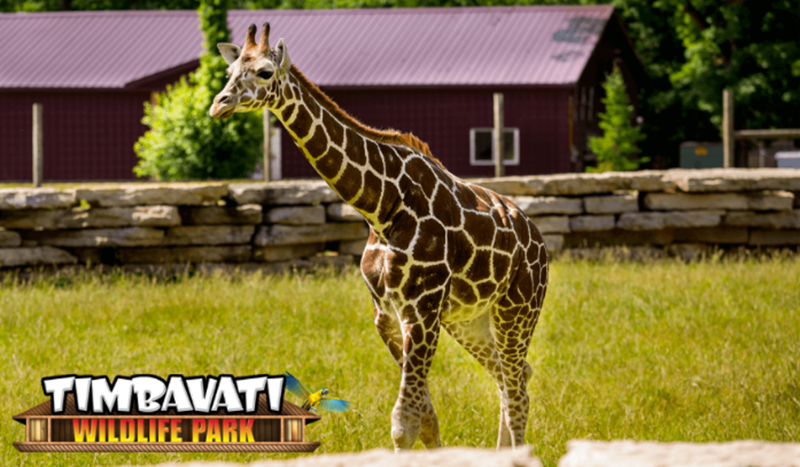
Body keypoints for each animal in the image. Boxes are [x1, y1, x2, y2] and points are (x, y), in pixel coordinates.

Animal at [210, 23, 549, 450]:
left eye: (265, 72)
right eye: (229, 72)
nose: (218, 104)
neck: (381, 207)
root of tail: (538, 240)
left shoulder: (421, 311)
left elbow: (404, 421)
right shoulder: (387, 315)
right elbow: (425, 418)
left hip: (516, 309)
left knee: (517, 387)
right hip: (470, 319)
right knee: (513, 377)